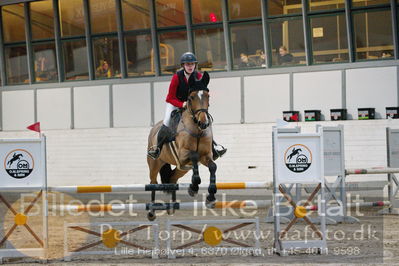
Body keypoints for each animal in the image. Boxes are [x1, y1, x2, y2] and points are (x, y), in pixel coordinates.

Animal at [146, 71, 216, 221]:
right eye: (191, 97)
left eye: (208, 96)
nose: (203, 123)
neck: (197, 130)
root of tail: (154, 128)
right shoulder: (183, 155)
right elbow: (194, 156)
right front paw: (193, 188)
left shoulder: (205, 156)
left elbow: (213, 166)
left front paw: (211, 197)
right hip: (154, 164)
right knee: (153, 183)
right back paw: (152, 212)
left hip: (182, 169)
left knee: (173, 179)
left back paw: (172, 207)